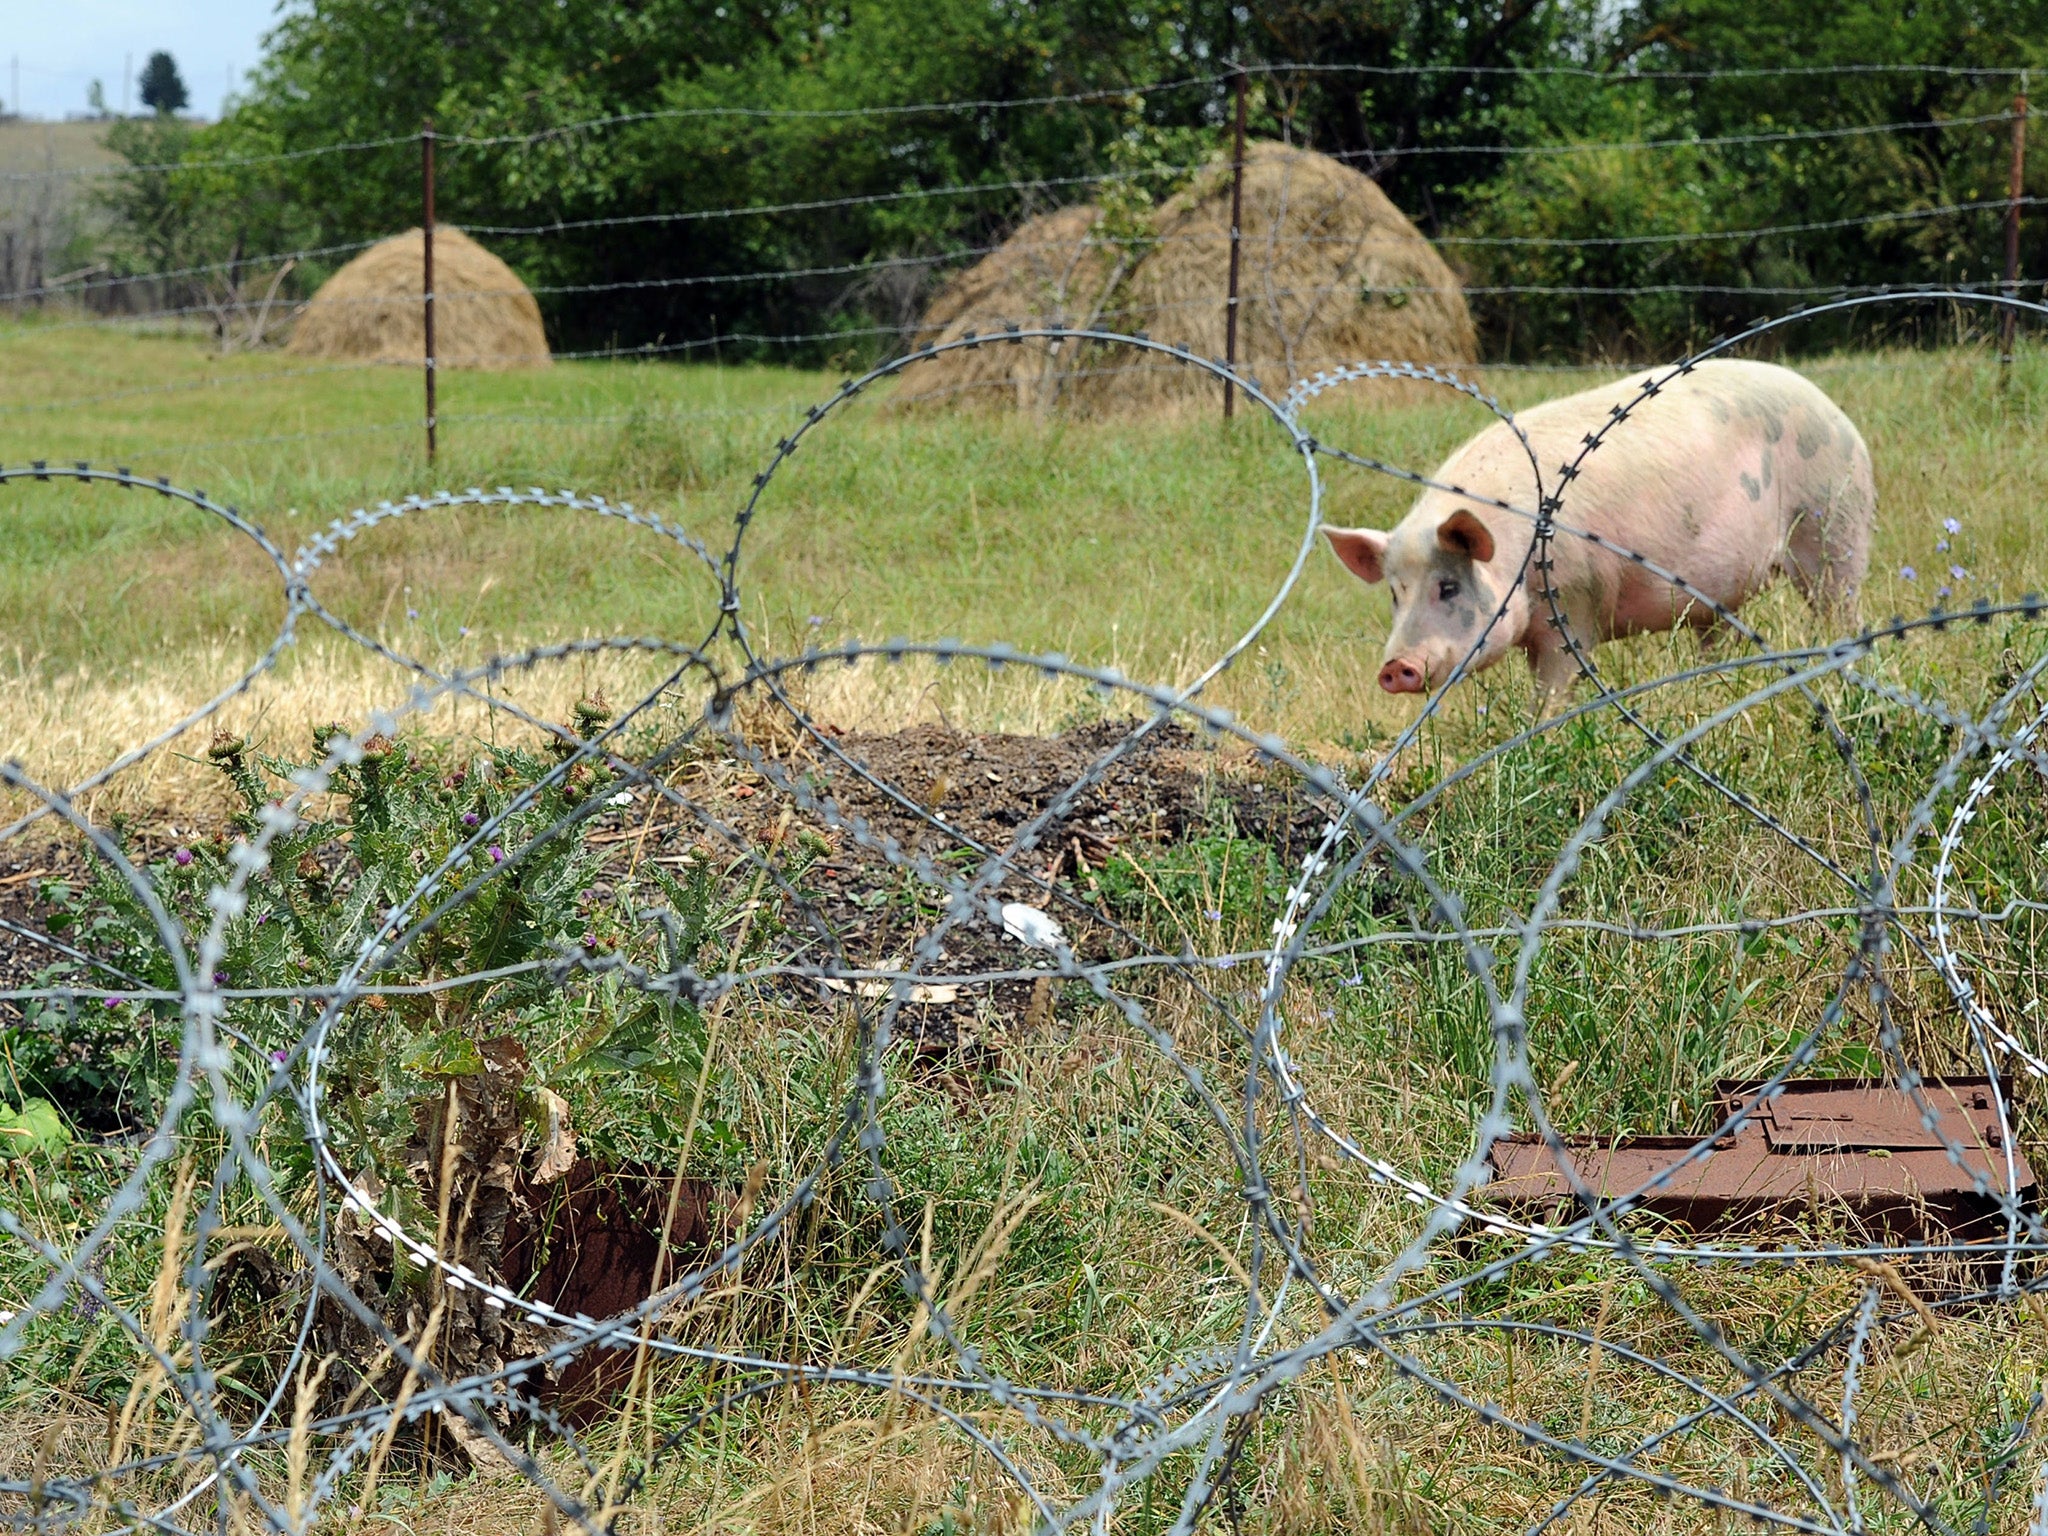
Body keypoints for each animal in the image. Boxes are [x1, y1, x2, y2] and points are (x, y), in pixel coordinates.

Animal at [1327, 360, 1875, 704]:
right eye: (1394, 594)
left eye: (1448, 587)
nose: (1395, 667)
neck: (1516, 553)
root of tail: (1840, 417)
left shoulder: (1575, 601)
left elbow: (1555, 687)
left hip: (1833, 524)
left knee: (1841, 613)